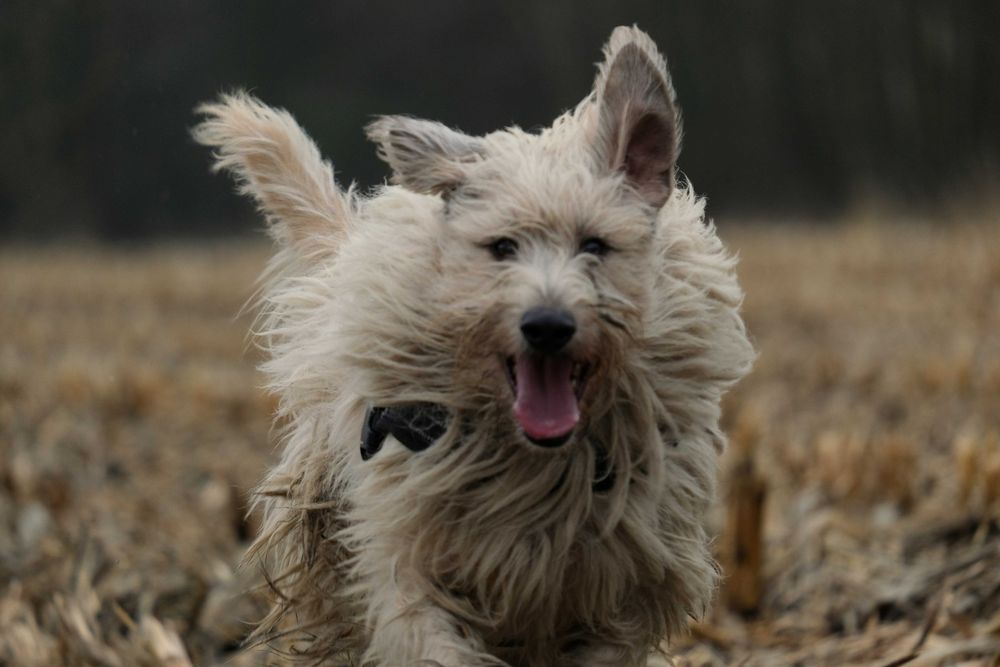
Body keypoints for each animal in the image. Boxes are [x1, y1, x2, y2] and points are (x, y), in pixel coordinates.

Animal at [193, 23, 752, 664]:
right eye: (502, 247)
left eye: (595, 245)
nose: (547, 324)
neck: (538, 459)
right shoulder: (409, 552)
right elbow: (427, 630)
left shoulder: (633, 581)